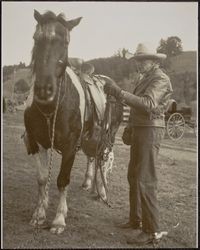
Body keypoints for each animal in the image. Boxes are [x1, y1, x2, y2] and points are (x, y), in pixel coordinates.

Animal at [23, 8, 122, 234]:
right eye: (36, 38)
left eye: (66, 42)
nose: (43, 89)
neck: (51, 109)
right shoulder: (37, 143)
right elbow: (42, 179)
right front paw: (39, 215)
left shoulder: (69, 146)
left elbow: (62, 180)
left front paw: (59, 219)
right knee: (93, 157)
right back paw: (89, 184)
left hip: (109, 136)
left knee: (104, 160)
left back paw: (102, 191)